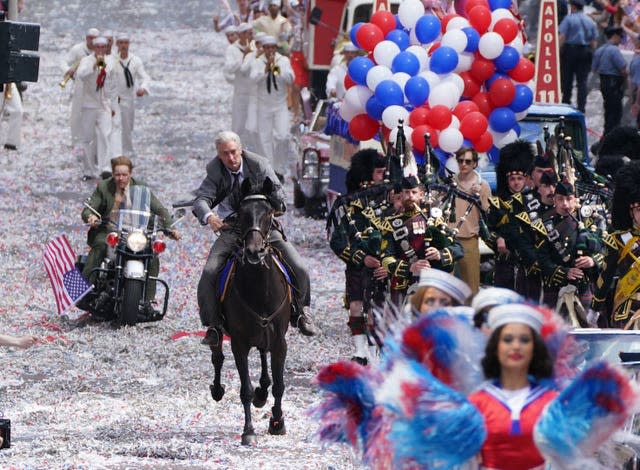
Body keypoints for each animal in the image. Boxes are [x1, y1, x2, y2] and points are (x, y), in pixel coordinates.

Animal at [209, 178, 292, 446]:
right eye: (242, 214)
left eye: (268, 214)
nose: (255, 252)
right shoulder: (239, 342)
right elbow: (244, 388)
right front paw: (248, 431)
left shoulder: (279, 341)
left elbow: (279, 385)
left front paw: (277, 422)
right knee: (217, 355)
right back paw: (218, 389)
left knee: (264, 358)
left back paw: (262, 392)